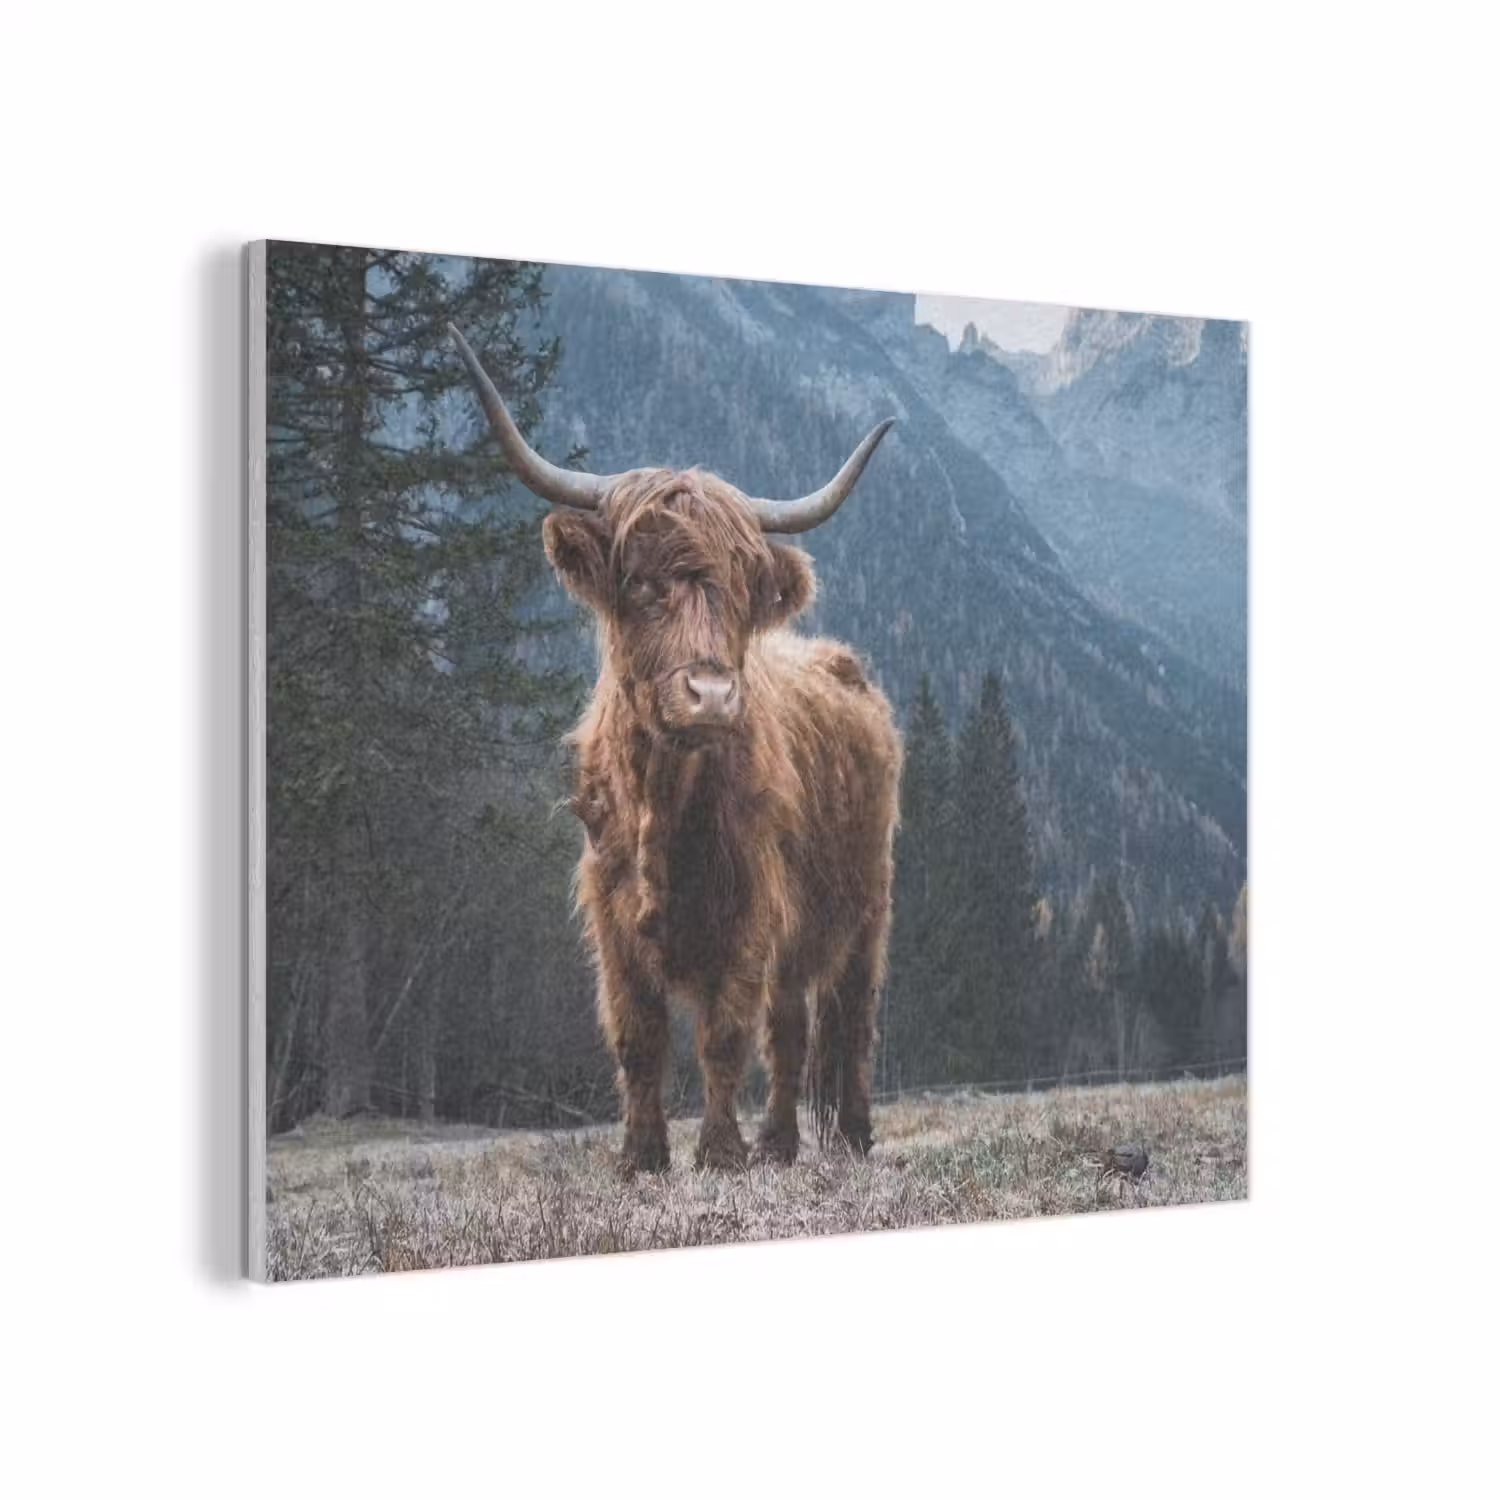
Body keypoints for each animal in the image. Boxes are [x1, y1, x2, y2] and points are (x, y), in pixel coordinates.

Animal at [451, 324, 901, 1174]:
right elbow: (639, 1038)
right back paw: (780, 1145)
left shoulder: (753, 907)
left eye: (743, 585)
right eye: (640, 581)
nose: (713, 695)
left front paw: (720, 1153)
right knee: (790, 1031)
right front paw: (641, 1157)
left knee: (849, 1021)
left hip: (867, 906)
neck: (663, 798)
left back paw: (851, 1138)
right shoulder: (611, 913)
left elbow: (723, 1036)